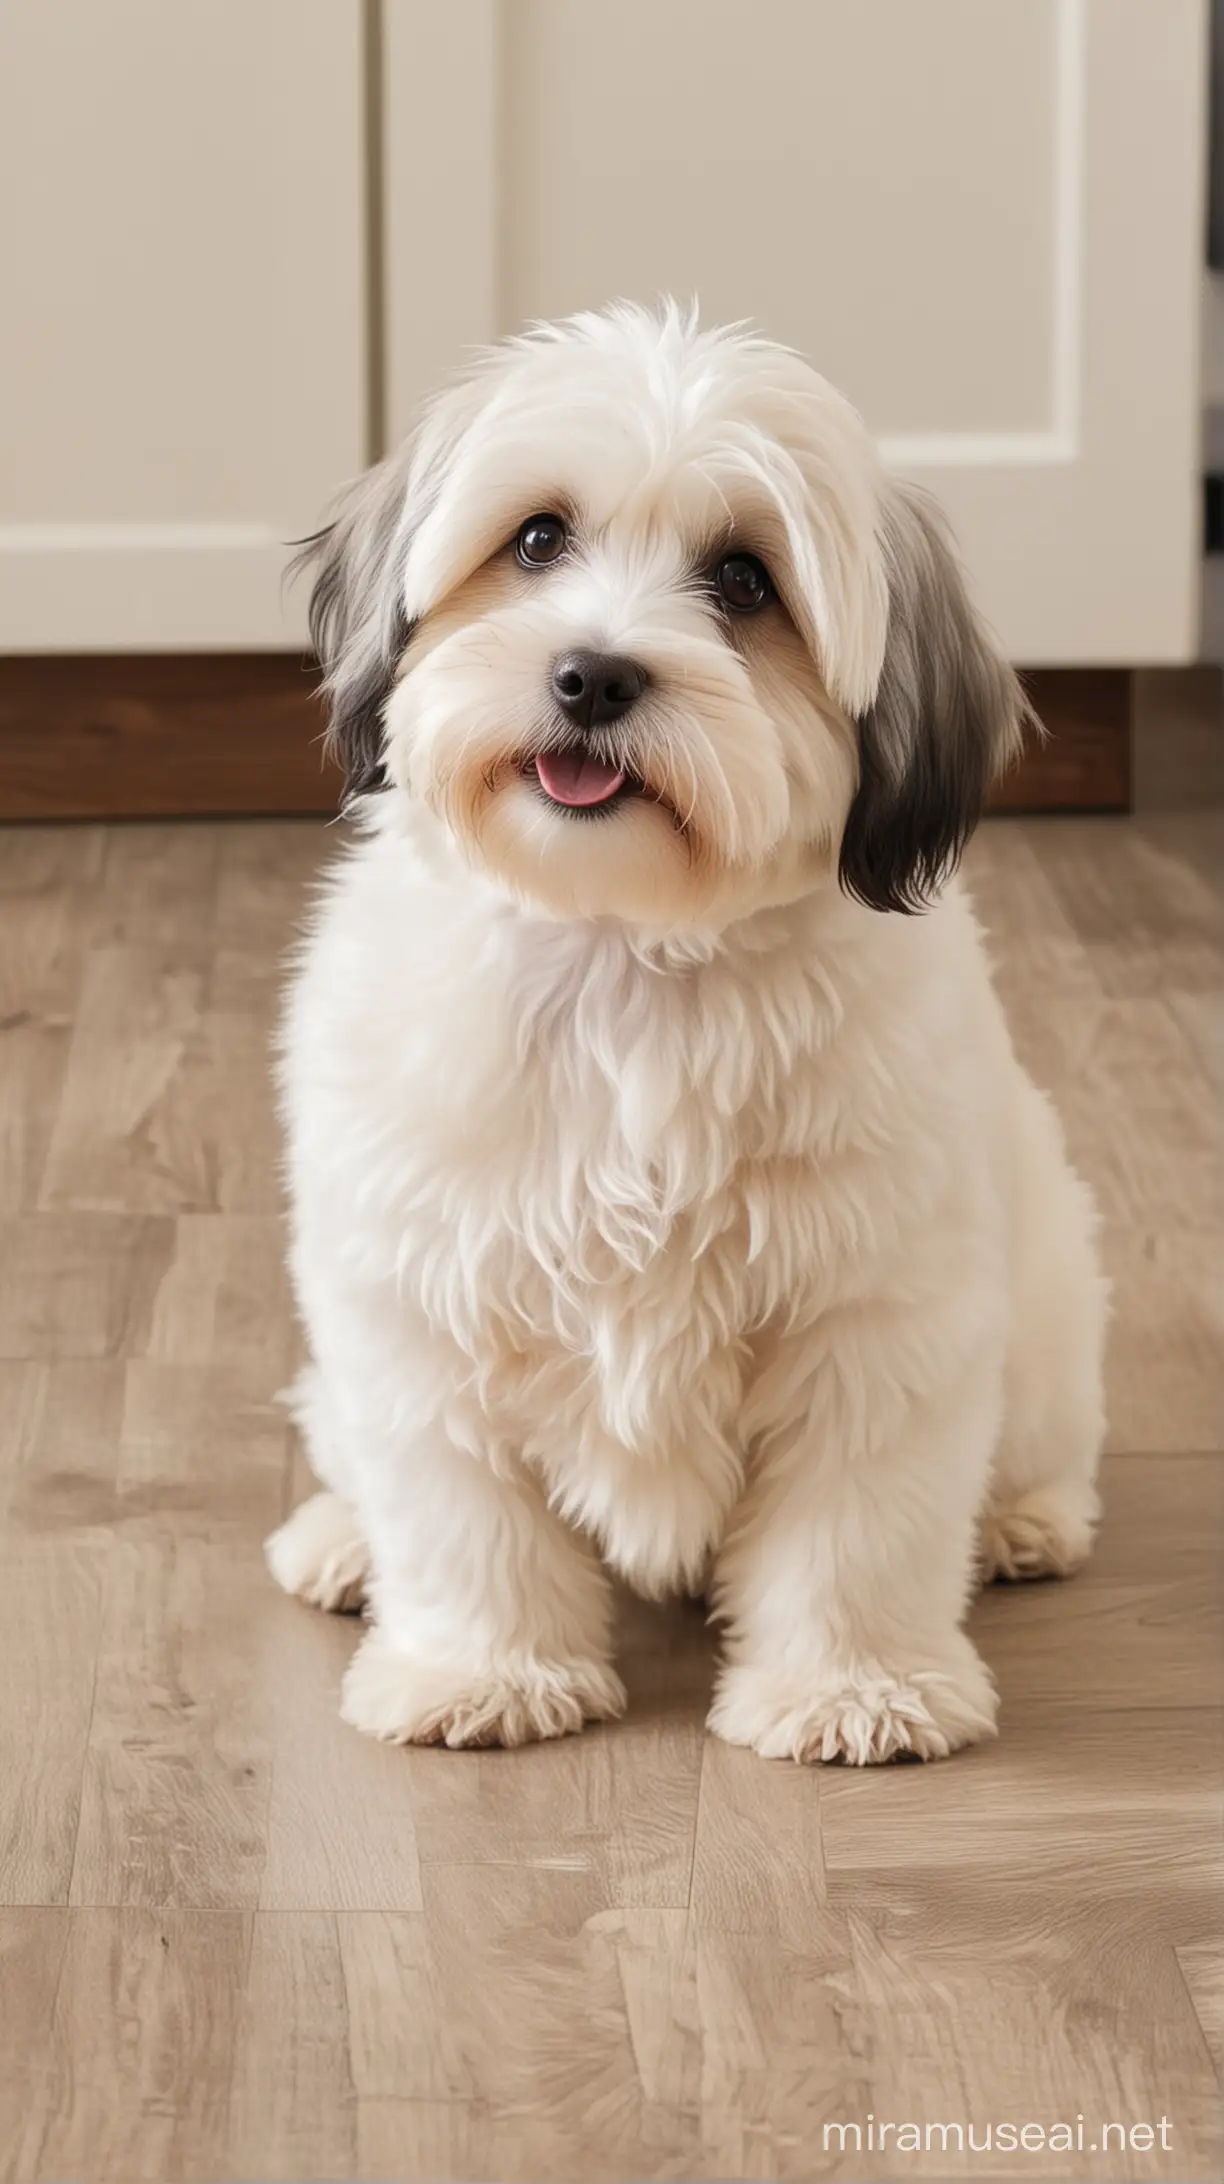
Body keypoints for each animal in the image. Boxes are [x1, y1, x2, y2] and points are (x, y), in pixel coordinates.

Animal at [267, 299, 1110, 1764]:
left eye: (744, 581)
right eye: (537, 540)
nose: (593, 675)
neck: (626, 956)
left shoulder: (873, 1316)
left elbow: (857, 1523)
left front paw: (853, 1689)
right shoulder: (422, 1297)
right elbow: (459, 1509)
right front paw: (479, 1669)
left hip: (1050, 1309)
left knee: (1038, 1438)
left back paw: (1023, 1521)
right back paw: (342, 1543)